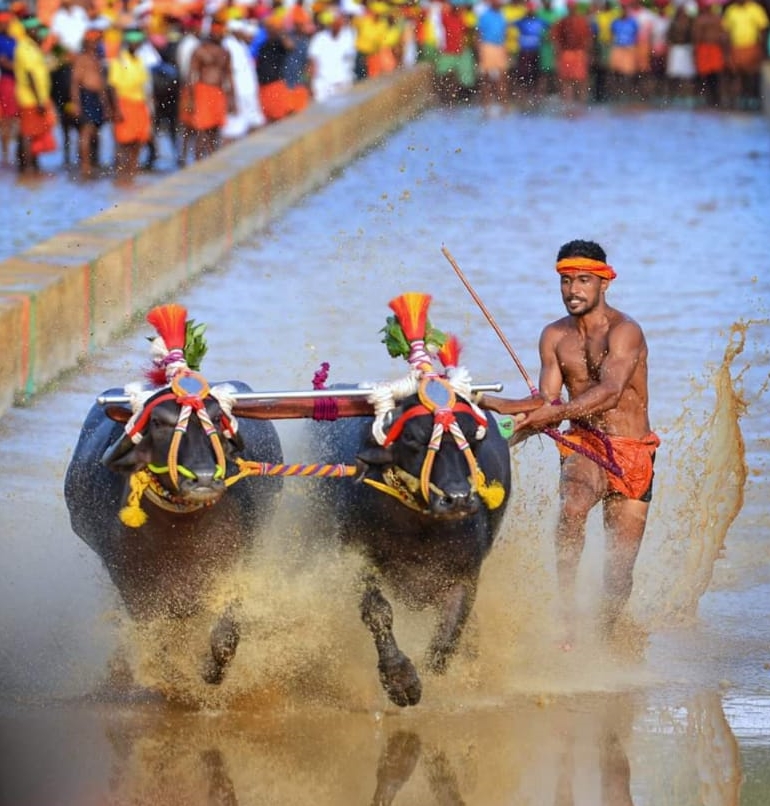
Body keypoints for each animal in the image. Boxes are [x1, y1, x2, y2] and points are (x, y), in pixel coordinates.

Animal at [65, 382, 282, 684]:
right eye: (157, 422)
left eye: (217, 418)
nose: (203, 478)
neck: (180, 533)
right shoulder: (132, 588)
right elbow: (161, 643)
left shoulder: (233, 572)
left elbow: (224, 640)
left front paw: (210, 673)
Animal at [306, 386, 510, 708]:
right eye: (412, 438)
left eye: (472, 436)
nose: (457, 498)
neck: (419, 529)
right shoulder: (357, 559)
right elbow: (377, 611)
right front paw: (400, 679)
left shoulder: (465, 575)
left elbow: (448, 633)